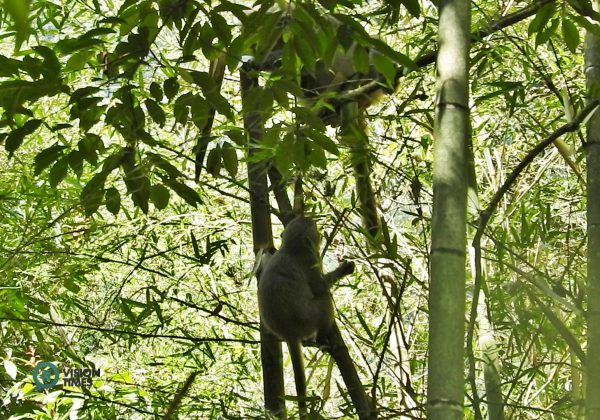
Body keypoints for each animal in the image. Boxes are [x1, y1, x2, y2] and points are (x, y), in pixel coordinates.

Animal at [258, 217, 356, 416]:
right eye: (316, 234)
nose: (320, 238)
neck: (289, 248)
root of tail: (288, 333)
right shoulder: (309, 260)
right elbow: (320, 288)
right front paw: (344, 269)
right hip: (308, 318)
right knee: (324, 299)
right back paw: (323, 337)